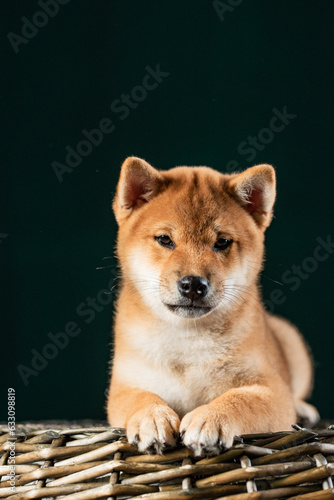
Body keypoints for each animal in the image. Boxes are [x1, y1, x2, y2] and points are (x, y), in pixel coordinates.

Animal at [107, 157, 318, 458]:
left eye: (222, 242)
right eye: (165, 239)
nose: (194, 284)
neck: (188, 337)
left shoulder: (272, 389)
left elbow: (241, 399)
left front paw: (211, 417)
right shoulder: (126, 384)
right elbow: (141, 397)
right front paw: (152, 417)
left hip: (292, 342)